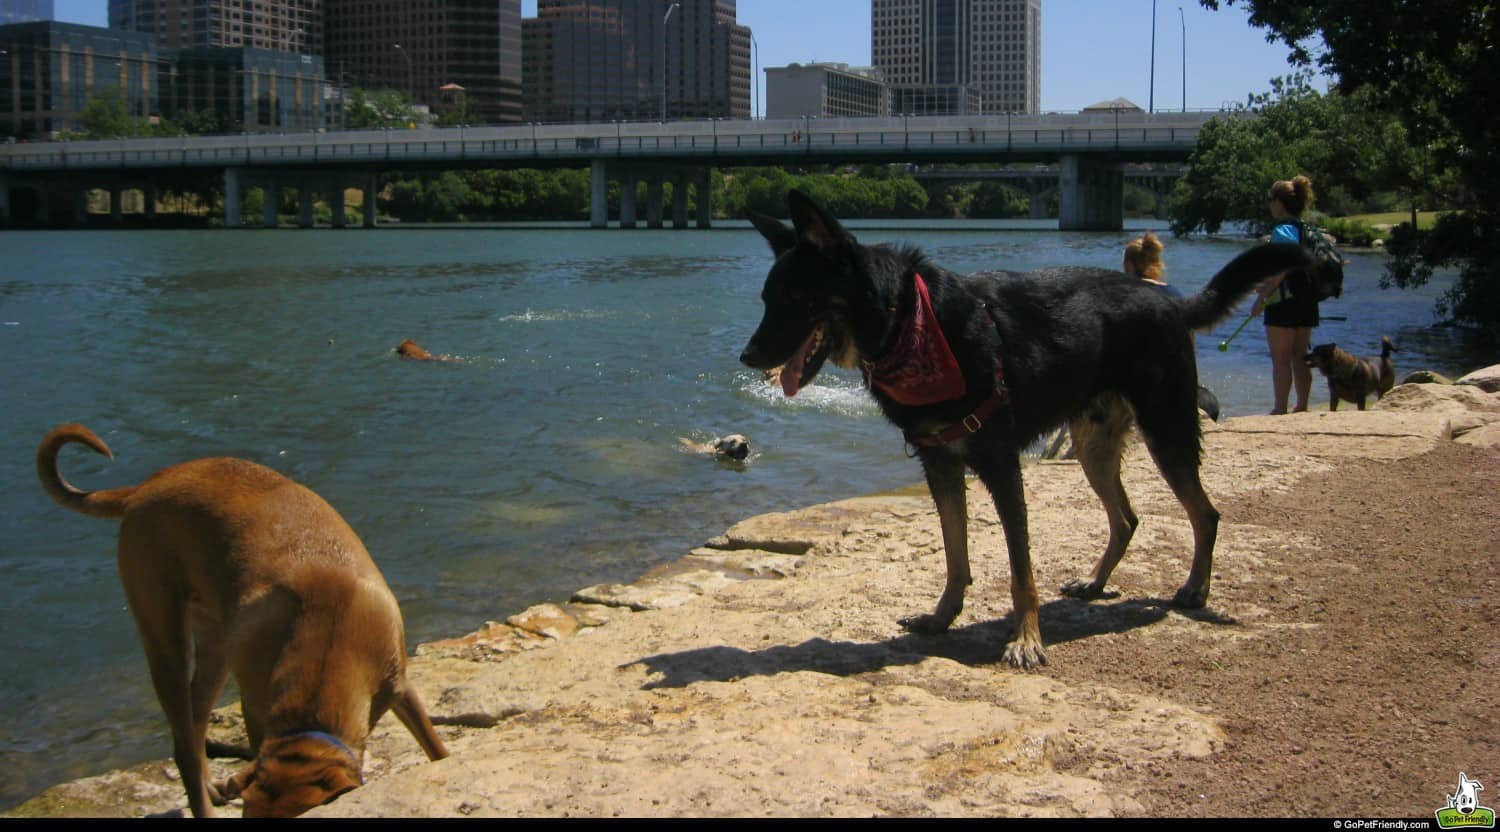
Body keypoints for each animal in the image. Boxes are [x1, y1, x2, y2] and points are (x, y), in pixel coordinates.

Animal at [38, 425, 447, 815]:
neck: (329, 641)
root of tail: (146, 486)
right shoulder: (255, 704)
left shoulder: (401, 688)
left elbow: (436, 749)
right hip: (165, 636)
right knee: (184, 744)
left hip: (215, 647)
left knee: (194, 723)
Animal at [741, 190, 1314, 671]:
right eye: (766, 299)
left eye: (794, 299)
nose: (746, 356)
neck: (909, 323)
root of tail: (1169, 300)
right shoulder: (940, 464)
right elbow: (956, 554)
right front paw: (942, 617)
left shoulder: (1000, 465)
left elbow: (1020, 571)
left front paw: (1026, 639)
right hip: (1093, 449)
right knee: (1127, 518)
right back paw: (1096, 582)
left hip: (1166, 431)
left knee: (1205, 513)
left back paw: (1195, 589)